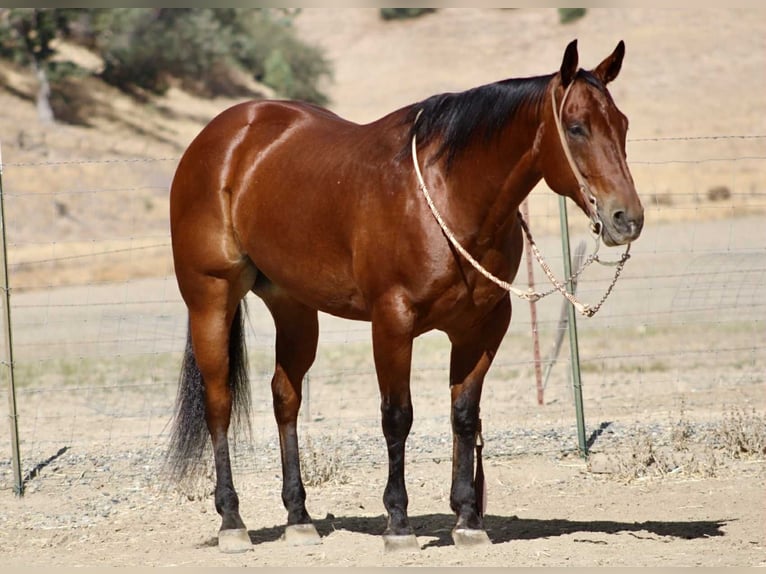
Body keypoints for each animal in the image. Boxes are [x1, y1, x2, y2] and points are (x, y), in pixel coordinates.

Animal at [166, 39, 644, 553]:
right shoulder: (392, 321)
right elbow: (397, 416)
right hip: (211, 298)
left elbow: (464, 415)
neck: (447, 195)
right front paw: (398, 523)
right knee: (219, 402)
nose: (627, 219)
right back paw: (232, 521)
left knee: (285, 397)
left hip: (293, 307)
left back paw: (299, 517)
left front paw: (468, 519)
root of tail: (222, 136)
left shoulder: (482, 326)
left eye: (622, 124)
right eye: (576, 127)